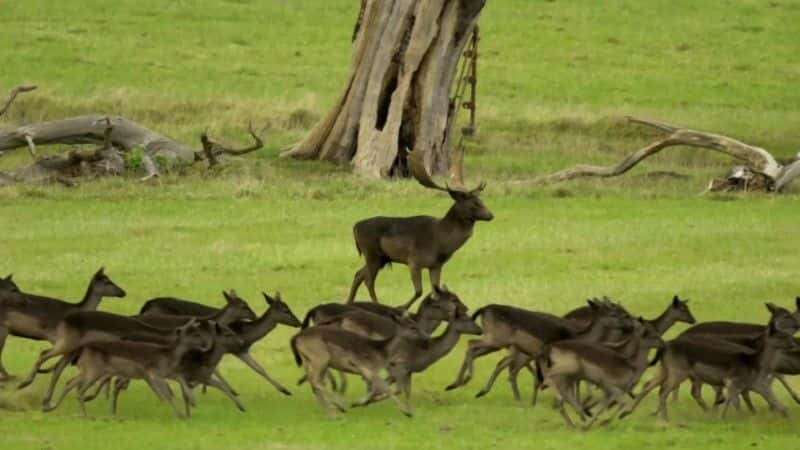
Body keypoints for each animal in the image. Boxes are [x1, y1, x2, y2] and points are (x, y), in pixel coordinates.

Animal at [346, 149, 490, 308]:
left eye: (481, 200)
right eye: (474, 203)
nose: (491, 215)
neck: (442, 242)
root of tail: (355, 227)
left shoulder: (436, 265)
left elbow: (435, 293)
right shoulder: (414, 260)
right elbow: (419, 291)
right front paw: (401, 307)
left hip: (381, 257)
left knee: (358, 274)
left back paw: (348, 302)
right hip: (372, 253)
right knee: (368, 280)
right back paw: (377, 304)